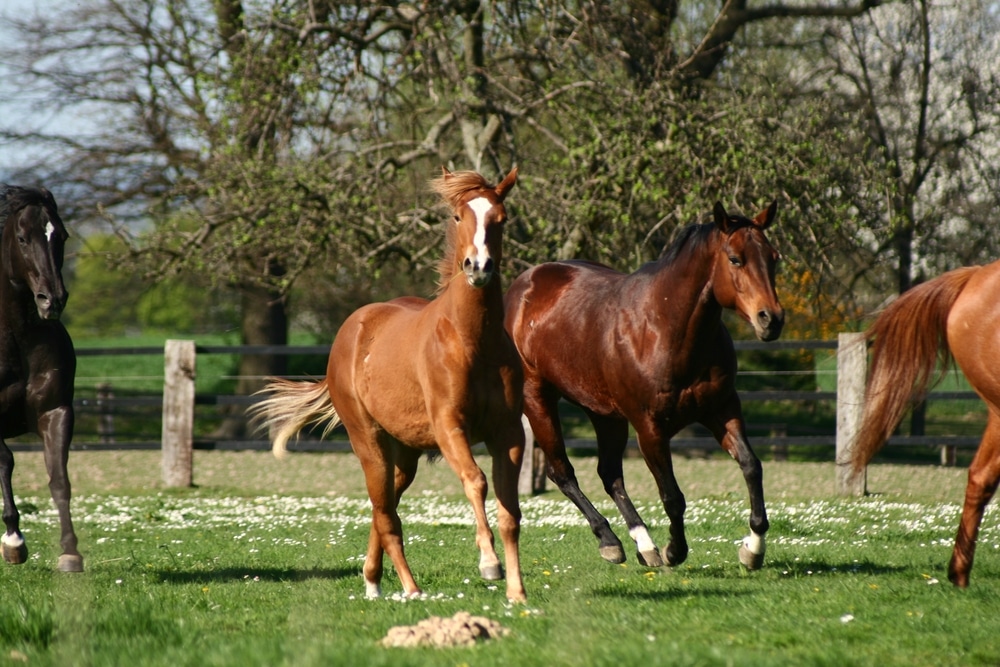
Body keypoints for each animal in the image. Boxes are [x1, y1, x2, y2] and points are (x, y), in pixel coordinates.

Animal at [248, 167, 524, 600]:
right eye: (458, 216)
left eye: (502, 218)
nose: (479, 267)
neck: (472, 340)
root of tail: (350, 331)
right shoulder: (450, 428)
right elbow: (476, 482)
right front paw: (489, 563)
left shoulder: (509, 434)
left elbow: (511, 512)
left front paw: (517, 593)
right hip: (369, 440)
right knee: (387, 515)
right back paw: (409, 589)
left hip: (404, 454)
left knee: (384, 505)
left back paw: (373, 578)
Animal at [508, 202, 780, 568]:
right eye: (735, 259)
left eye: (773, 257)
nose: (771, 319)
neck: (664, 329)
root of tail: (523, 286)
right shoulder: (649, 428)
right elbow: (672, 495)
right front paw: (674, 551)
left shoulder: (722, 409)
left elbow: (751, 466)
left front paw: (752, 549)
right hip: (538, 399)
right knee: (562, 471)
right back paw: (611, 541)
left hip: (604, 413)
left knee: (609, 473)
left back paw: (643, 544)